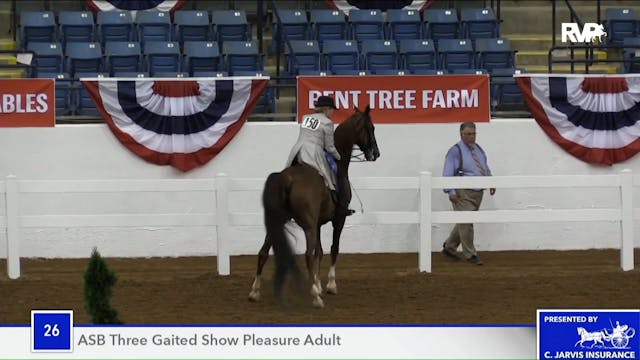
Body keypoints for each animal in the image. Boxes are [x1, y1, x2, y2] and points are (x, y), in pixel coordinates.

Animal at [249, 105, 380, 308]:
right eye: (371, 128)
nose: (376, 153)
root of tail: (287, 179)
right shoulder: (338, 219)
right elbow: (333, 248)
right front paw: (329, 286)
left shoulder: (318, 222)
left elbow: (320, 251)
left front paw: (317, 283)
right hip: (308, 226)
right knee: (307, 255)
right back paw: (316, 298)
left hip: (278, 222)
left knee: (263, 252)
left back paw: (255, 292)